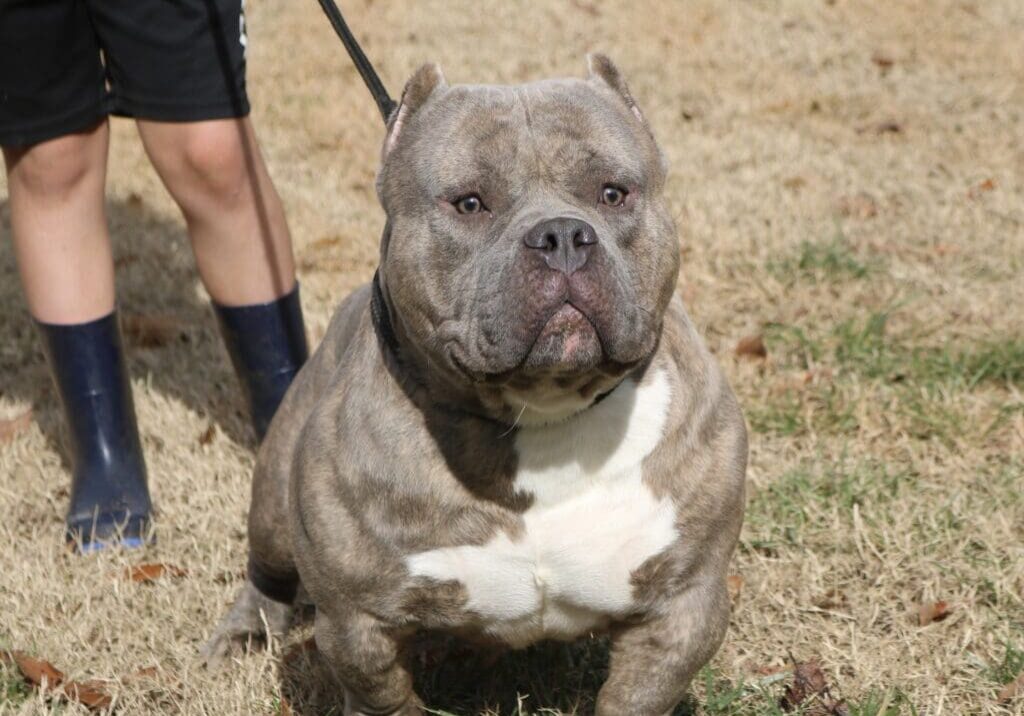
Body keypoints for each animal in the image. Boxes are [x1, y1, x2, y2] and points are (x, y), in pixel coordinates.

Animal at [205, 57, 753, 716]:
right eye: (470, 203)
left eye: (612, 193)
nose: (563, 235)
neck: (542, 416)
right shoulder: (356, 625)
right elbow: (386, 697)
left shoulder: (683, 605)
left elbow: (636, 696)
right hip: (275, 501)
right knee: (268, 573)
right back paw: (242, 634)